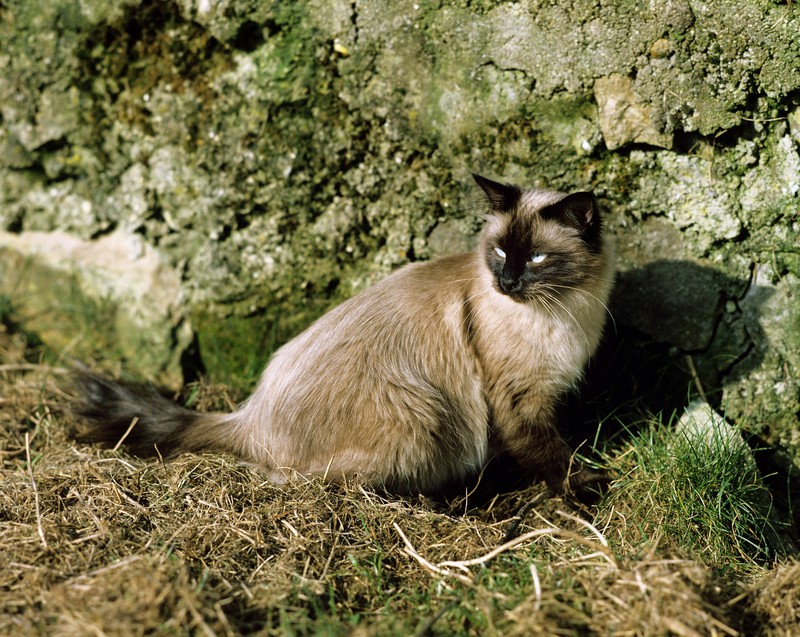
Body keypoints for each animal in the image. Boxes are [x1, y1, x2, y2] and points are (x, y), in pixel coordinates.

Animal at [72, 173, 616, 496]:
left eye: (537, 258)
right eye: (502, 252)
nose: (507, 282)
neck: (563, 313)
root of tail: (247, 416)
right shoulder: (518, 400)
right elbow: (546, 453)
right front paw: (583, 486)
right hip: (421, 412)